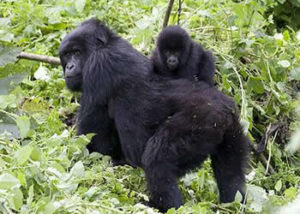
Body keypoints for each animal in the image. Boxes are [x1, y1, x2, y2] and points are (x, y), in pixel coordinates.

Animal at [58, 18, 248, 212]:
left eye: (77, 52)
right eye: (67, 55)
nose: (70, 66)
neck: (108, 44)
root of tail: (225, 107)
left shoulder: (98, 66)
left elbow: (93, 146)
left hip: (205, 119)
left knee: (157, 160)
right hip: (232, 129)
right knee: (231, 173)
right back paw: (233, 203)